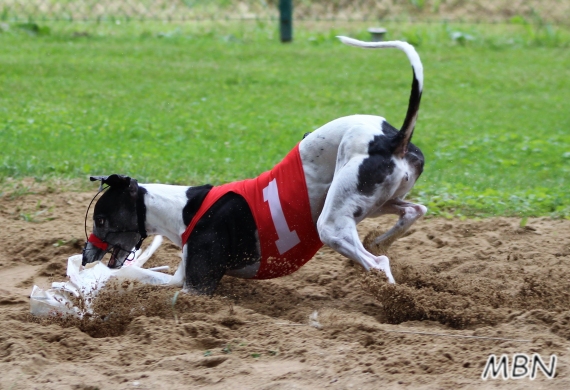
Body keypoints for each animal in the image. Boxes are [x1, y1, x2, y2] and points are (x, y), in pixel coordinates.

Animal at [82, 36, 424, 294]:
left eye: (101, 220)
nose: (86, 256)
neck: (182, 208)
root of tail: (394, 139)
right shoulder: (181, 278)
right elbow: (131, 273)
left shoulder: (196, 287)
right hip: (371, 201)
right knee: (414, 211)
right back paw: (381, 241)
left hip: (332, 223)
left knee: (379, 263)